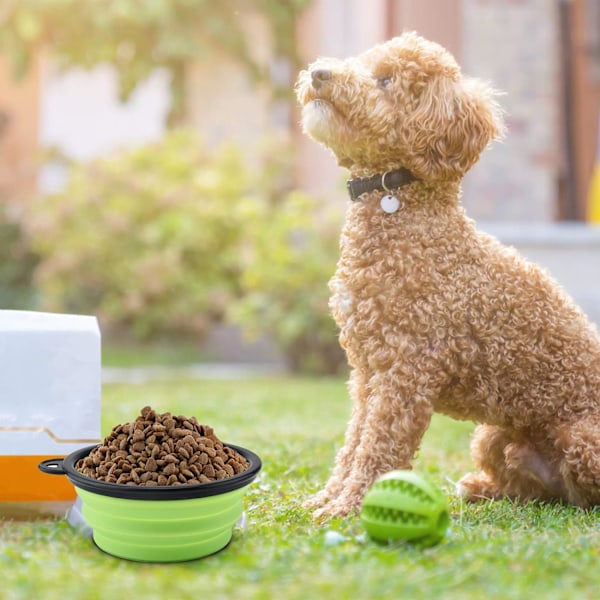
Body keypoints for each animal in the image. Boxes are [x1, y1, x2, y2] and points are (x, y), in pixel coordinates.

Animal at [294, 31, 600, 516]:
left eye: (385, 80)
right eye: (361, 62)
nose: (320, 72)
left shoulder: (405, 372)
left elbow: (377, 446)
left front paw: (349, 507)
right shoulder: (368, 372)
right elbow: (354, 440)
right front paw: (326, 499)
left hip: (582, 436)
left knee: (577, 493)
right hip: (492, 436)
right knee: (538, 489)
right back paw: (480, 489)